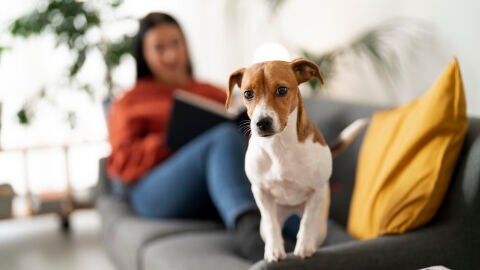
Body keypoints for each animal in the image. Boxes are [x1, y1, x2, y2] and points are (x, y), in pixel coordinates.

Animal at [225, 58, 368, 262]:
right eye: (248, 93)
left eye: (282, 90)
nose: (262, 122)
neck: (279, 146)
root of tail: (292, 209)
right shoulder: (260, 192)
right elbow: (271, 224)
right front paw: (274, 250)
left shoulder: (316, 192)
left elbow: (307, 222)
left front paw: (304, 247)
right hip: (267, 222)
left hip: (321, 224)